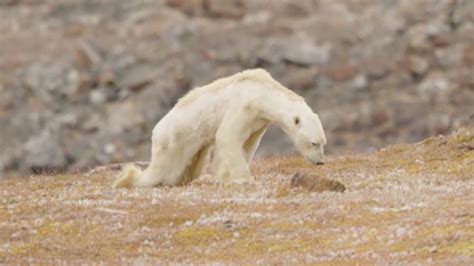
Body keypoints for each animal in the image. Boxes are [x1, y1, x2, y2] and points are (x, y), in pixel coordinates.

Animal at [114, 69, 326, 189]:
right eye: (314, 143)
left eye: (323, 142)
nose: (320, 162)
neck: (261, 92)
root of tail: (156, 132)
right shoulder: (243, 106)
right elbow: (227, 136)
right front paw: (242, 178)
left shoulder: (258, 121)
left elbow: (248, 144)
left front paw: (223, 174)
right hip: (174, 142)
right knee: (163, 171)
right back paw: (127, 179)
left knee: (190, 168)